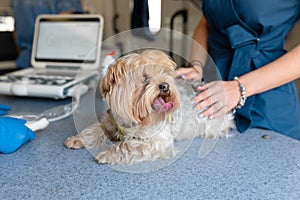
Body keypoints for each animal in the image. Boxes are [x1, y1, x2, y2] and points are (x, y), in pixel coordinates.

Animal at [65, 49, 234, 164]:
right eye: (144, 78)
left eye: (163, 73)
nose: (165, 86)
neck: (134, 119)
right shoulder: (110, 122)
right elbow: (95, 130)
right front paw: (77, 139)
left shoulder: (158, 142)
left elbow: (128, 145)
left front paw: (108, 154)